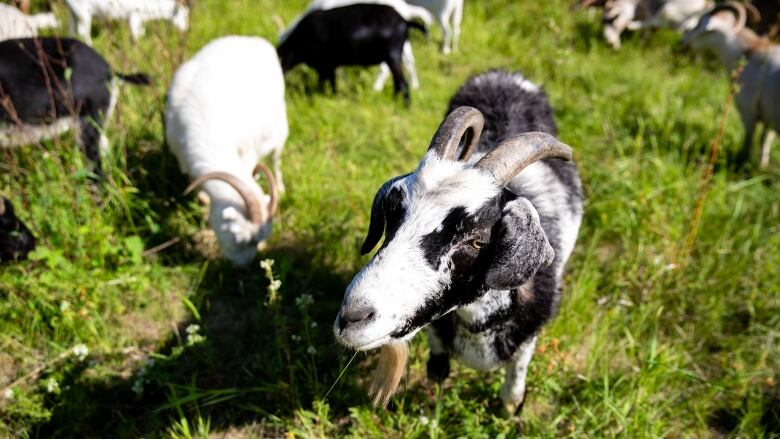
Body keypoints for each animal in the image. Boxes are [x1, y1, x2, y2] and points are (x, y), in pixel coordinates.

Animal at [166, 36, 288, 266]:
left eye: (259, 241)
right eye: (238, 238)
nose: (243, 267)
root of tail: (252, 39)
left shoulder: (248, 153)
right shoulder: (182, 158)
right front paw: (202, 201)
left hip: (279, 127)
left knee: (277, 157)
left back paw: (280, 185)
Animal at [278, 3, 426, 102]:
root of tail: (405, 21)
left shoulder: (325, 64)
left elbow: (324, 82)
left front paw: (322, 96)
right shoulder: (329, 65)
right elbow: (331, 81)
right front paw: (332, 95)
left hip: (392, 56)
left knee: (403, 83)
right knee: (398, 82)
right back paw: (394, 100)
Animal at [332, 69, 580, 416]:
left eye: (477, 241)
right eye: (392, 213)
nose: (353, 317)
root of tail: (503, 74)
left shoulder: (530, 334)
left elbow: (513, 388)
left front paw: (507, 414)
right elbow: (437, 371)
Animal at [684, 1, 776, 168]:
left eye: (700, 23)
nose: (684, 37)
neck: (748, 54)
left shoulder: (749, 111)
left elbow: (749, 140)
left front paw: (744, 162)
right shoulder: (769, 116)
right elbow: (765, 139)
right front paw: (762, 164)